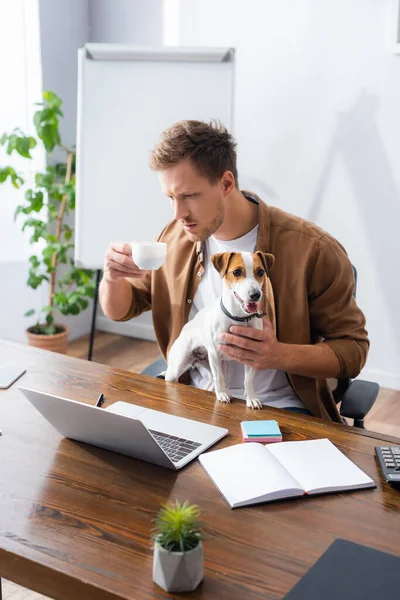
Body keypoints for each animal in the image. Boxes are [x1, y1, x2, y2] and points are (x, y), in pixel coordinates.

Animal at [165, 251, 276, 410]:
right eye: (237, 272)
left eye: (260, 272)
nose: (255, 295)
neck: (238, 318)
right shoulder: (215, 353)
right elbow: (219, 378)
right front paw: (223, 394)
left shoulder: (252, 355)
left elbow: (248, 380)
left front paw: (251, 398)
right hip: (179, 367)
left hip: (217, 364)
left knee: (212, 380)